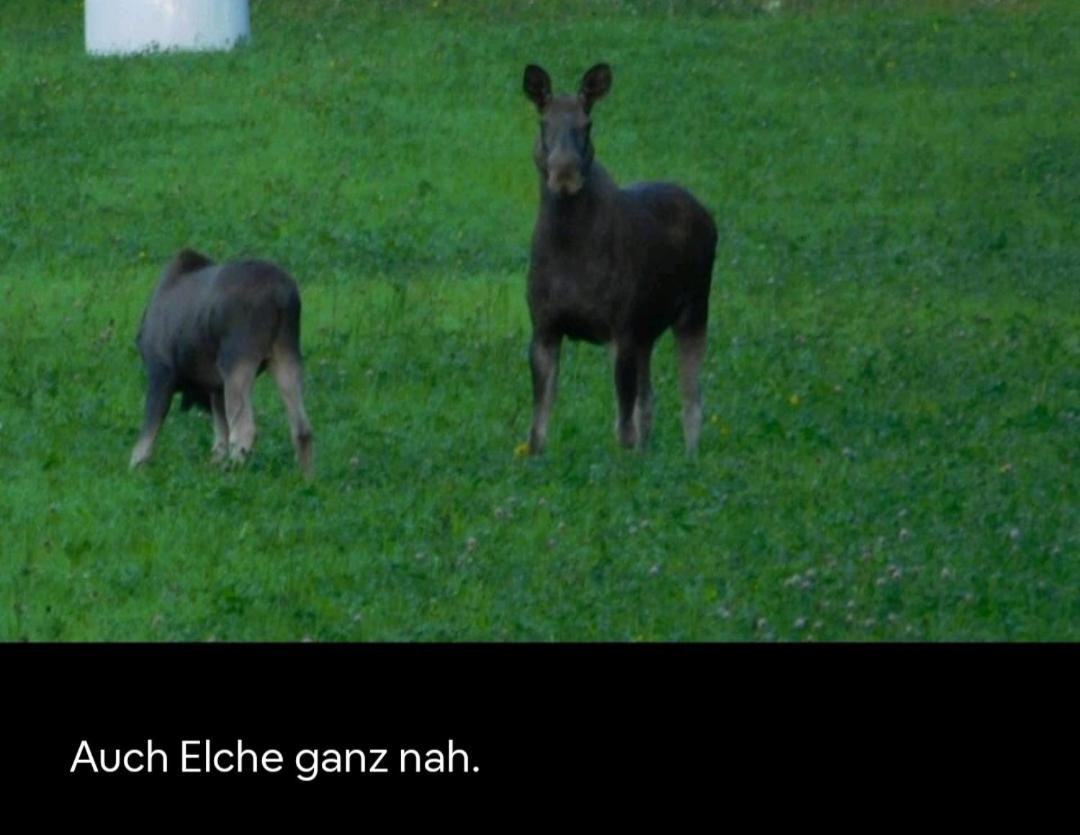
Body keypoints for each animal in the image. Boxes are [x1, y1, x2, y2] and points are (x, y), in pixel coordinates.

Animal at [130, 249, 314, 477]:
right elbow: (220, 437)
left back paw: (234, 473)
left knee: (244, 430)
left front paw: (136, 467)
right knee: (302, 428)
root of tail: (283, 296)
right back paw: (307, 478)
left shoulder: (161, 373)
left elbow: (147, 435)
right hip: (286, 352)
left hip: (238, 358)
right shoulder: (216, 387)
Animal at [521, 63, 717, 456]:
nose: (564, 174)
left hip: (693, 310)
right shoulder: (544, 328)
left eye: (587, 124)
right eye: (543, 121)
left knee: (691, 400)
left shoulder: (621, 330)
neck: (568, 249)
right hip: (647, 331)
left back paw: (690, 458)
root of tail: (708, 216)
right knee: (649, 402)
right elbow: (537, 428)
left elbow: (622, 428)